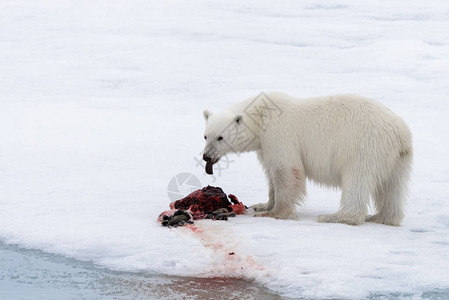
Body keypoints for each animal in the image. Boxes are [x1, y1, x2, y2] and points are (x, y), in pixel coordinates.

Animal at [201, 92, 412, 225]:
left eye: (220, 137)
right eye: (205, 136)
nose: (206, 156)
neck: (261, 115)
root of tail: (401, 133)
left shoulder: (279, 133)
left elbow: (285, 170)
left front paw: (274, 212)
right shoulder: (264, 145)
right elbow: (271, 173)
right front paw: (261, 205)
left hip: (364, 146)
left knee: (357, 180)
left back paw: (334, 217)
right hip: (396, 159)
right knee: (392, 187)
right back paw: (381, 217)